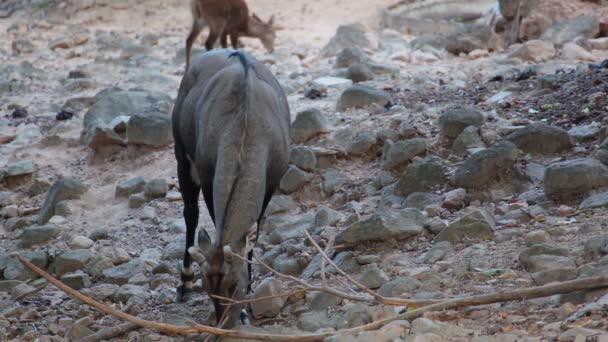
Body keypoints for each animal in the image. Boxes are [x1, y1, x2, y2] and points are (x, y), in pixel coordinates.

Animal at [171, 49, 292, 328]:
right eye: (208, 288)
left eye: (234, 283)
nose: (224, 322)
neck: (245, 126)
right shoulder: (207, 175)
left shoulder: (272, 182)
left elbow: (253, 235)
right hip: (182, 157)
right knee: (190, 213)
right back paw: (184, 282)